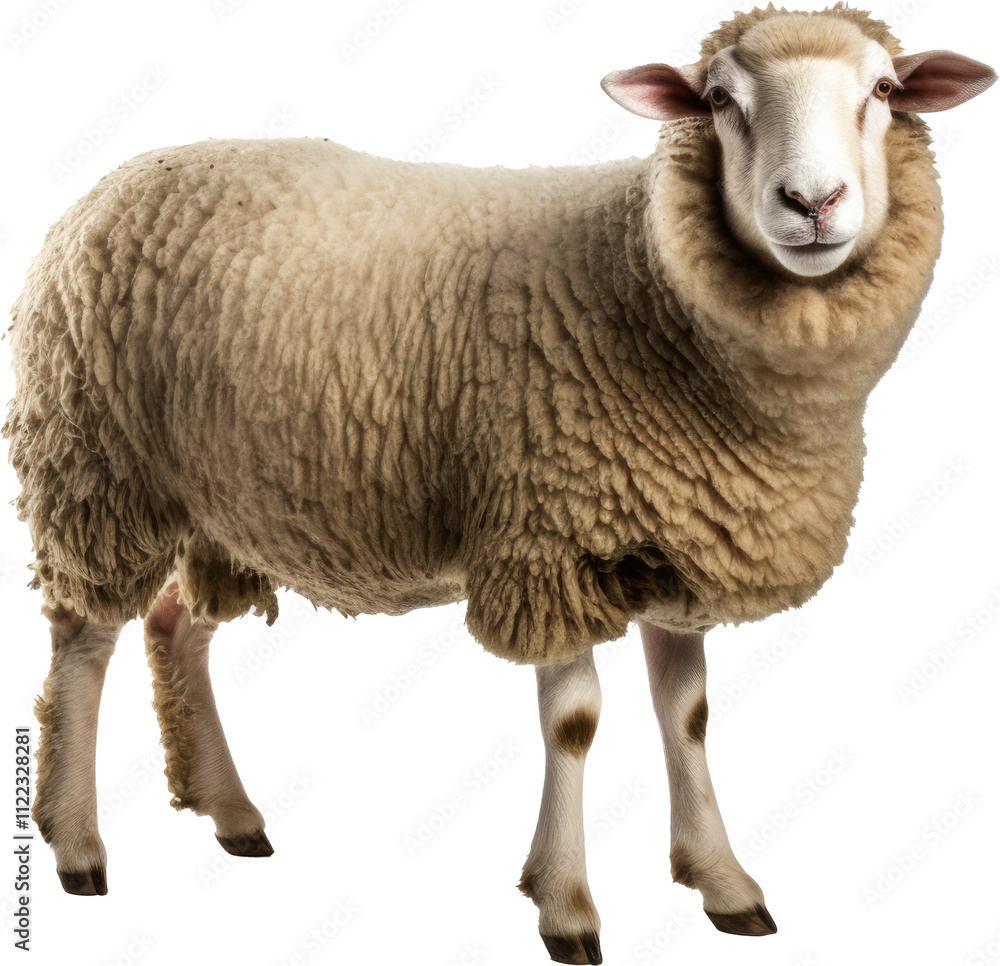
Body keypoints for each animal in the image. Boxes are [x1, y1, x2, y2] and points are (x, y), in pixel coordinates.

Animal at [3, 3, 995, 963]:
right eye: (717, 99)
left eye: (884, 90)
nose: (813, 202)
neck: (645, 286)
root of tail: (104, 187)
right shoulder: (548, 536)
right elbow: (577, 724)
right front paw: (567, 907)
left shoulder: (675, 542)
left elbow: (689, 716)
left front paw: (723, 884)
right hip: (98, 469)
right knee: (84, 643)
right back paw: (77, 846)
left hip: (217, 503)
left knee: (176, 628)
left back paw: (231, 814)